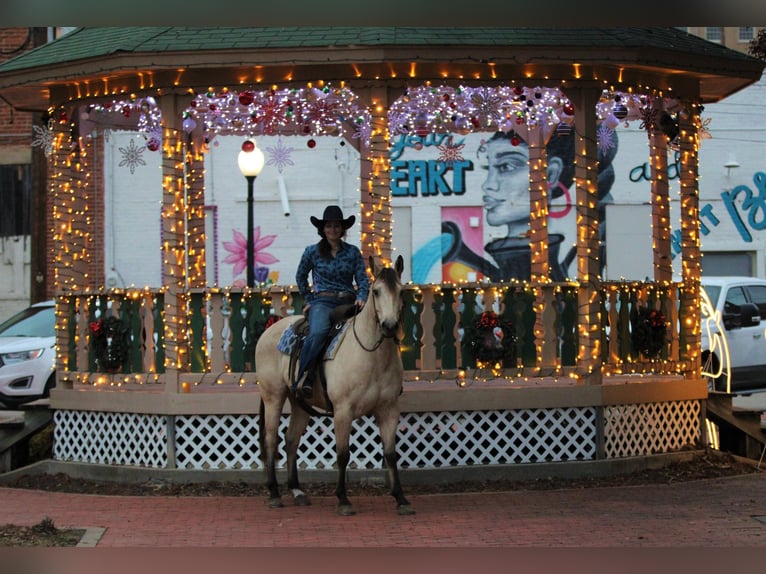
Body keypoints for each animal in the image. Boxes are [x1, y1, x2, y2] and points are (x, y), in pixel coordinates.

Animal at [256, 256, 414, 516]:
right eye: (376, 291)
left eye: (401, 292)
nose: (389, 326)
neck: (371, 355)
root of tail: (268, 330)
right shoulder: (343, 410)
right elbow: (342, 454)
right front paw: (343, 499)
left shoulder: (389, 410)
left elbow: (391, 454)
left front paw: (401, 498)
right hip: (273, 397)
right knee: (271, 440)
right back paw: (274, 494)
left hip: (299, 403)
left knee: (291, 440)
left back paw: (297, 491)